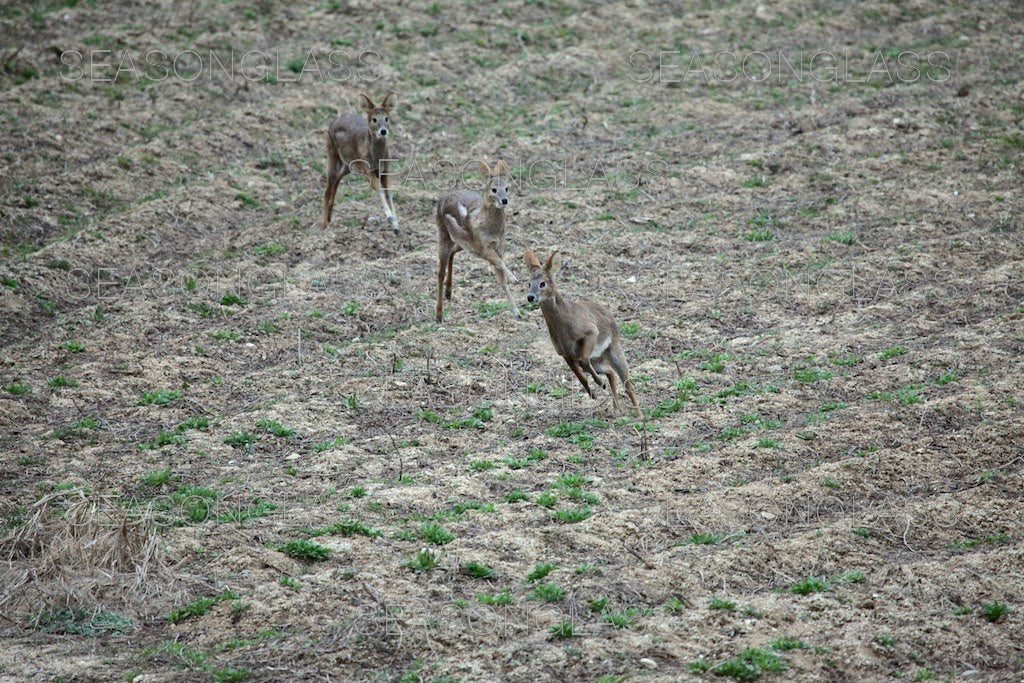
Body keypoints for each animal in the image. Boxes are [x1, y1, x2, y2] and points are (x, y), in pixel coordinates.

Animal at [321, 92, 397, 235]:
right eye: (374, 119)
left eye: (387, 118)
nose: (383, 131)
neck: (377, 158)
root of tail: (335, 120)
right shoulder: (367, 169)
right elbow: (380, 190)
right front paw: (390, 218)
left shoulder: (385, 169)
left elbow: (389, 192)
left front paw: (396, 225)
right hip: (332, 153)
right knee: (328, 188)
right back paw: (323, 225)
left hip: (348, 164)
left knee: (336, 183)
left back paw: (329, 219)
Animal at [436, 160, 524, 323]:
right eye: (494, 189)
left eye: (507, 188)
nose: (504, 200)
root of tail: (441, 199)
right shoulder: (483, 246)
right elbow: (500, 264)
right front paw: (514, 278)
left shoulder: (499, 246)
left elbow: (502, 279)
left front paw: (517, 313)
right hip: (443, 234)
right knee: (440, 272)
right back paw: (439, 315)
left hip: (462, 243)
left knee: (452, 253)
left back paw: (449, 292)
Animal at [528, 250, 638, 419]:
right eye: (528, 283)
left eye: (542, 283)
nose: (530, 297)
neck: (563, 325)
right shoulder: (565, 354)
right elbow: (579, 375)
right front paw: (593, 393)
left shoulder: (590, 332)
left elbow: (584, 361)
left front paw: (600, 384)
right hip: (598, 362)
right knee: (610, 372)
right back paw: (616, 408)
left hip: (614, 352)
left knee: (627, 383)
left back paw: (639, 415)